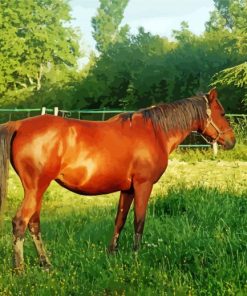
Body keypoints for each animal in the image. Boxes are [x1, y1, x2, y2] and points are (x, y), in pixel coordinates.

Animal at [0, 88, 235, 270]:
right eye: (222, 113)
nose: (232, 141)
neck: (155, 132)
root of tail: (18, 125)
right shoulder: (143, 185)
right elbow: (139, 221)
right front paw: (136, 256)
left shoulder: (127, 189)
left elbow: (120, 220)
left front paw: (112, 253)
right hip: (36, 189)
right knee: (20, 222)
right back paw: (20, 269)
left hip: (37, 190)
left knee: (34, 224)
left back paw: (46, 264)